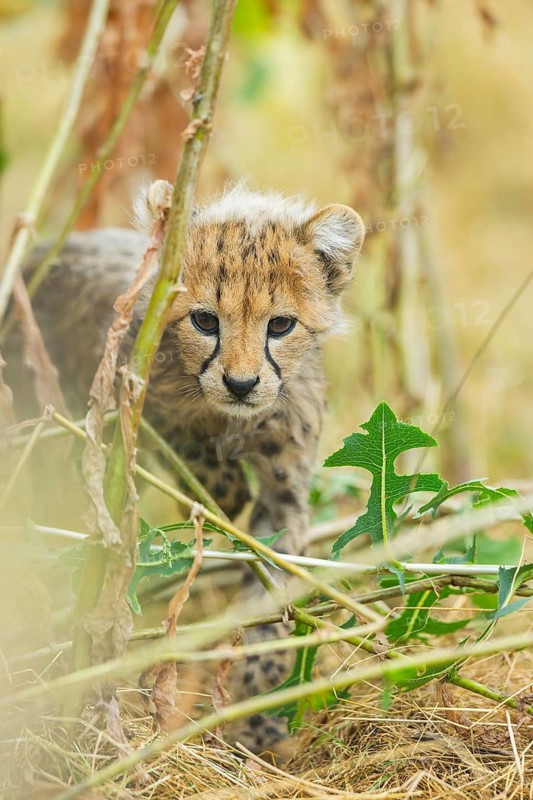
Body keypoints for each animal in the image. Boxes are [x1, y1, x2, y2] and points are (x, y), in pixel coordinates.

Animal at [7, 184, 365, 759]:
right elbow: (183, 440)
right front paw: (221, 488)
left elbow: (270, 598)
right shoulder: (135, 399)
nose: (240, 384)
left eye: (280, 325)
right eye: (205, 321)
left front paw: (257, 706)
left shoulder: (284, 496)